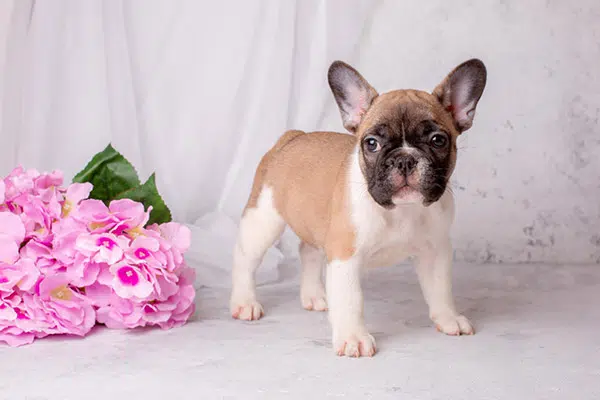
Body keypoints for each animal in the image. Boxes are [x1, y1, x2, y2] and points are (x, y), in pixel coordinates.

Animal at [230, 58, 488, 356]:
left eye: (438, 140)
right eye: (371, 143)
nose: (405, 160)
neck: (400, 210)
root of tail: (292, 137)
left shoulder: (435, 250)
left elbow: (440, 288)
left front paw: (448, 318)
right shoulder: (345, 256)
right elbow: (351, 300)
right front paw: (353, 337)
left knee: (308, 251)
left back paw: (314, 295)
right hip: (264, 219)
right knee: (246, 259)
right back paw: (244, 301)